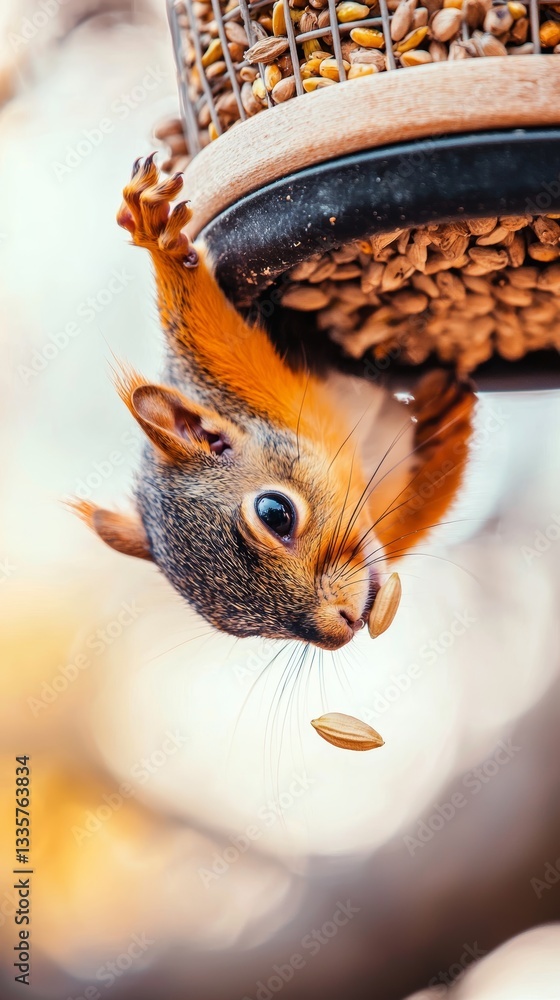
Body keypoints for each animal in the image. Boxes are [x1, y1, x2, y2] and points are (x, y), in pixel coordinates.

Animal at [74, 155, 476, 651]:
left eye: (275, 514)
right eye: (237, 629)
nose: (342, 628)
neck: (344, 436)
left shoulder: (238, 381)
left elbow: (207, 330)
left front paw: (156, 236)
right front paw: (446, 423)